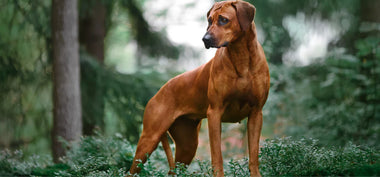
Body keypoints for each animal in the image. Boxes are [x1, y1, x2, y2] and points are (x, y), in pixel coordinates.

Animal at [129, 0, 268, 176]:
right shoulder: (215, 113)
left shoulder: (256, 113)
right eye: (209, 20)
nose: (205, 39)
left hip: (187, 145)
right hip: (149, 139)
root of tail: (156, 94)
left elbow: (254, 155)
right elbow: (217, 156)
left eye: (223, 20)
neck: (241, 56)